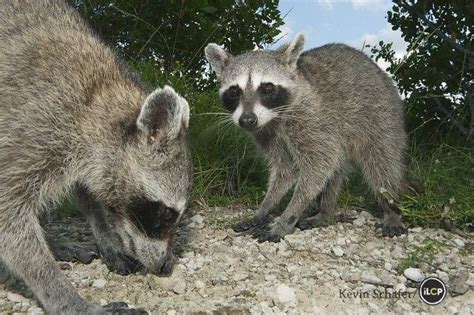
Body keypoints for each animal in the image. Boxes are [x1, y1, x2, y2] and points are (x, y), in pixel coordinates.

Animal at [0, 0, 193, 314]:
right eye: (166, 213)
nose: (166, 267)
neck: (99, 98)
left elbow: (86, 191)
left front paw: (104, 234)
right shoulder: (35, 123)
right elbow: (7, 207)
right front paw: (66, 297)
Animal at [206, 34, 410, 242]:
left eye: (267, 88)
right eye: (234, 91)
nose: (247, 120)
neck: (275, 118)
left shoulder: (312, 120)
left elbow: (318, 167)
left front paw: (288, 217)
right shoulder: (266, 132)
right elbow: (287, 169)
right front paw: (265, 207)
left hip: (381, 117)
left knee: (380, 164)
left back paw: (390, 209)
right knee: (337, 169)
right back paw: (326, 212)